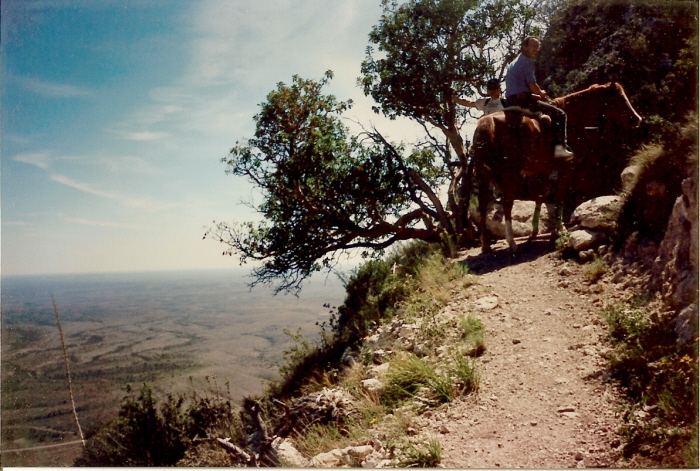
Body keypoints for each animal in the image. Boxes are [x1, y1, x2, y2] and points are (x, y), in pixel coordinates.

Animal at [470, 84, 640, 254]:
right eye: (619, 97)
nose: (637, 119)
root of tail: (487, 122)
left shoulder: (543, 169)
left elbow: (540, 196)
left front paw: (535, 231)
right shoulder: (565, 167)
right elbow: (559, 194)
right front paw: (560, 228)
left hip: (484, 177)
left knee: (483, 204)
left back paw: (486, 244)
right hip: (509, 174)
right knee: (506, 203)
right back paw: (511, 242)